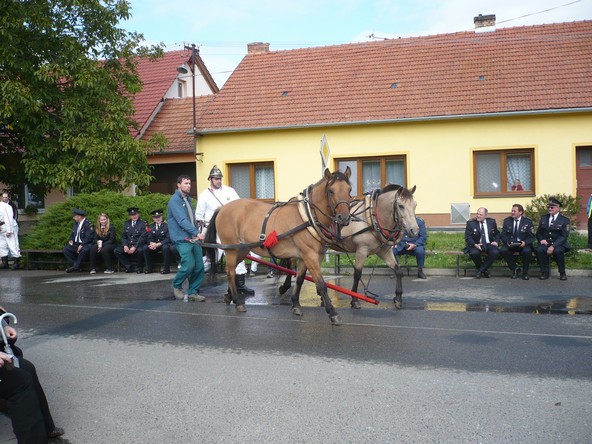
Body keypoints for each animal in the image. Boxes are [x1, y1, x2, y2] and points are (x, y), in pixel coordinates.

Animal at [204, 168, 352, 324]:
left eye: (349, 189)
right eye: (331, 190)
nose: (344, 218)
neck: (307, 216)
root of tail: (222, 208)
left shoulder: (305, 257)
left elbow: (299, 280)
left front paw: (295, 304)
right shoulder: (310, 255)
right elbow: (321, 284)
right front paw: (332, 312)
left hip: (242, 249)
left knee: (229, 270)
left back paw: (229, 296)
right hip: (232, 250)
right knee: (231, 272)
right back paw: (238, 302)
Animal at [280, 184, 418, 308]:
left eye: (415, 205)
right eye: (401, 206)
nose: (415, 231)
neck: (372, 217)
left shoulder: (384, 251)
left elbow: (398, 271)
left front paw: (398, 298)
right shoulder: (362, 250)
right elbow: (357, 274)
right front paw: (354, 300)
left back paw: (321, 296)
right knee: (291, 264)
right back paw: (285, 287)